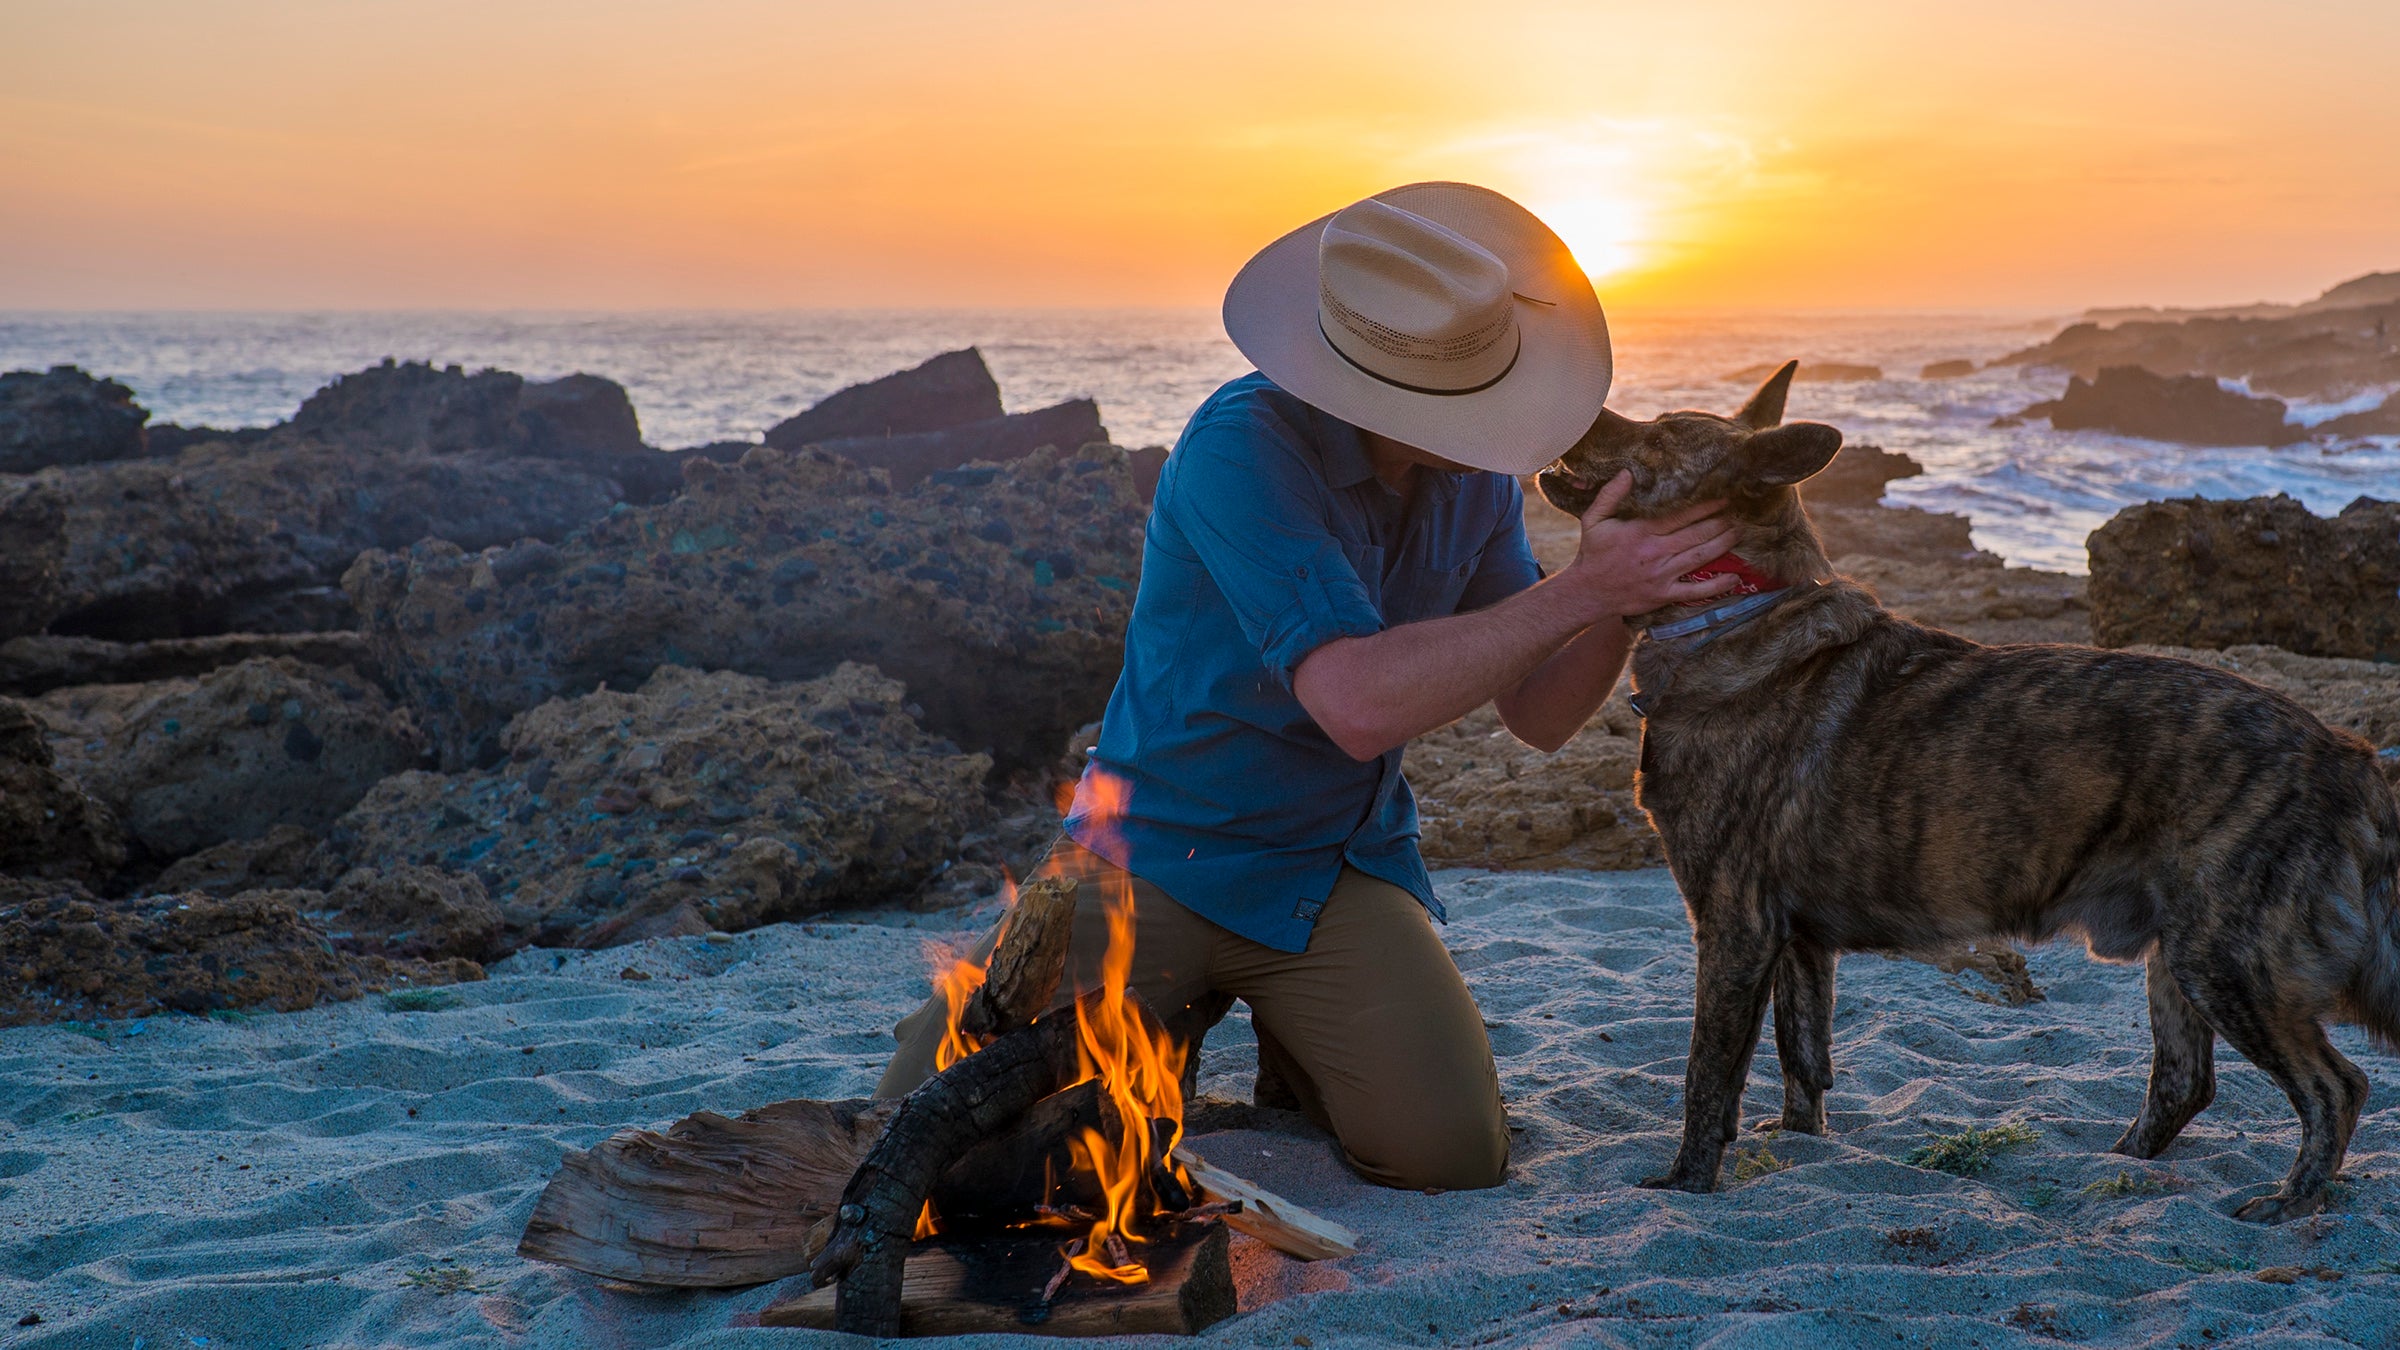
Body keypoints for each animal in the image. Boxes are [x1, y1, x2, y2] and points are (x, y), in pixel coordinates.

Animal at [1536, 360, 2400, 1220]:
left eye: (1657, 437)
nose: (1573, 411)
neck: (1734, 606)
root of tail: (2349, 755)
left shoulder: (1734, 930)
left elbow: (1707, 1077)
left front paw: (1687, 1182)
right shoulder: (1797, 943)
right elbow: (1802, 1059)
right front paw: (1800, 1144)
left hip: (2228, 962)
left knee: (2337, 1087)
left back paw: (2290, 1202)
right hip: (2182, 954)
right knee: (2188, 1080)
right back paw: (2116, 1166)